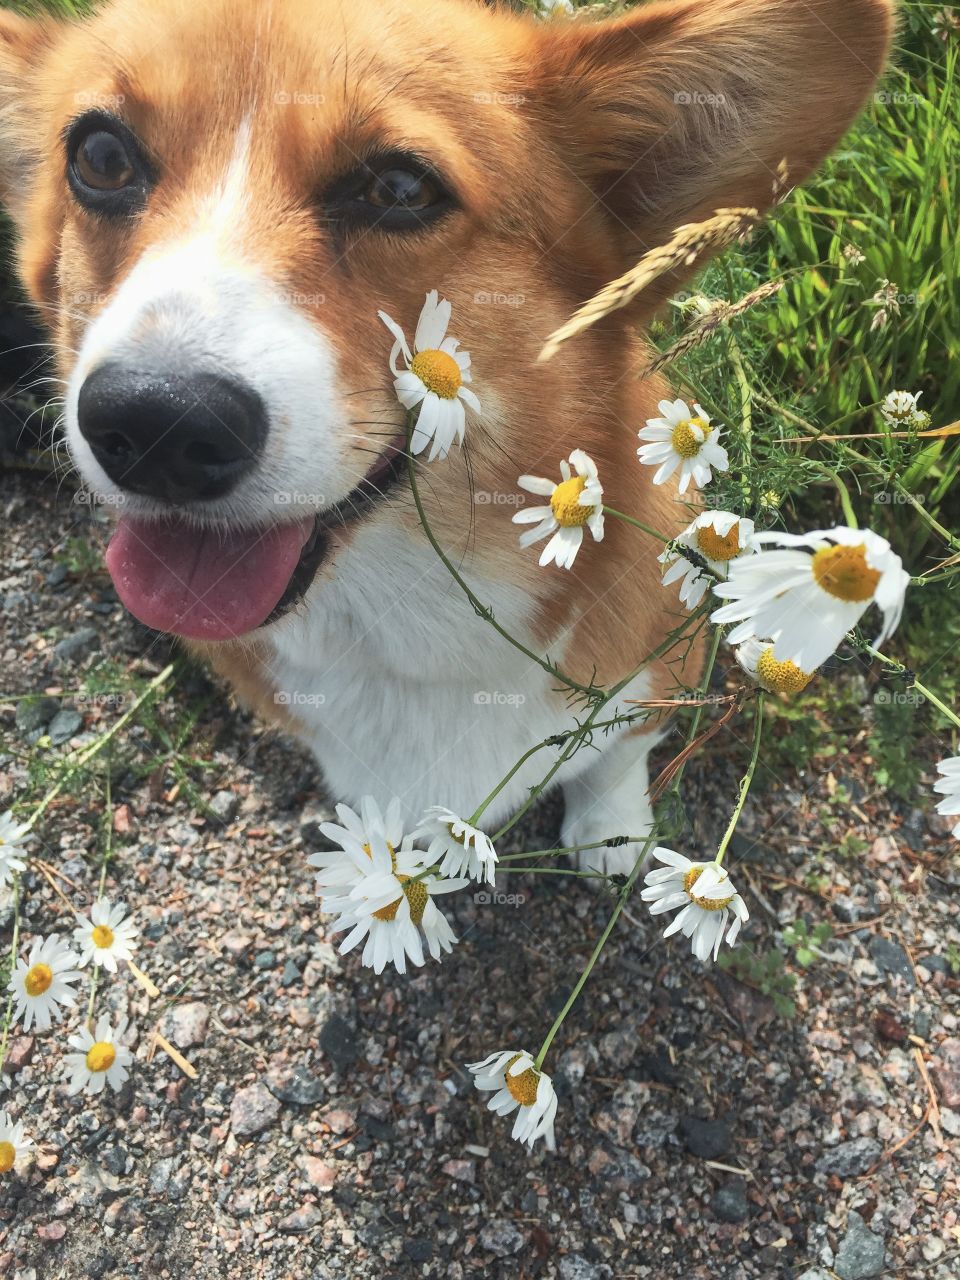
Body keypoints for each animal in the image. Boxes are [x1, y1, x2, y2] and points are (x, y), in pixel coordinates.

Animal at [0, 0, 896, 870]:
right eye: (101, 157)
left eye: (400, 188)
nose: (155, 422)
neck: (405, 629)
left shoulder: (656, 673)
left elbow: (616, 755)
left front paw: (612, 834)